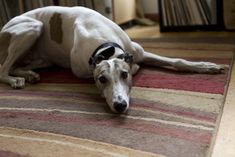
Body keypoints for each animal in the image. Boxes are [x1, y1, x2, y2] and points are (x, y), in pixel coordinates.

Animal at [0, 6, 224, 113]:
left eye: (124, 75)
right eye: (101, 79)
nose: (120, 105)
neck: (104, 46)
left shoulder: (139, 52)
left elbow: (176, 61)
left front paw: (205, 66)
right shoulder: (82, 70)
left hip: (39, 50)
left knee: (14, 65)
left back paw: (28, 74)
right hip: (31, 28)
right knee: (2, 70)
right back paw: (15, 79)